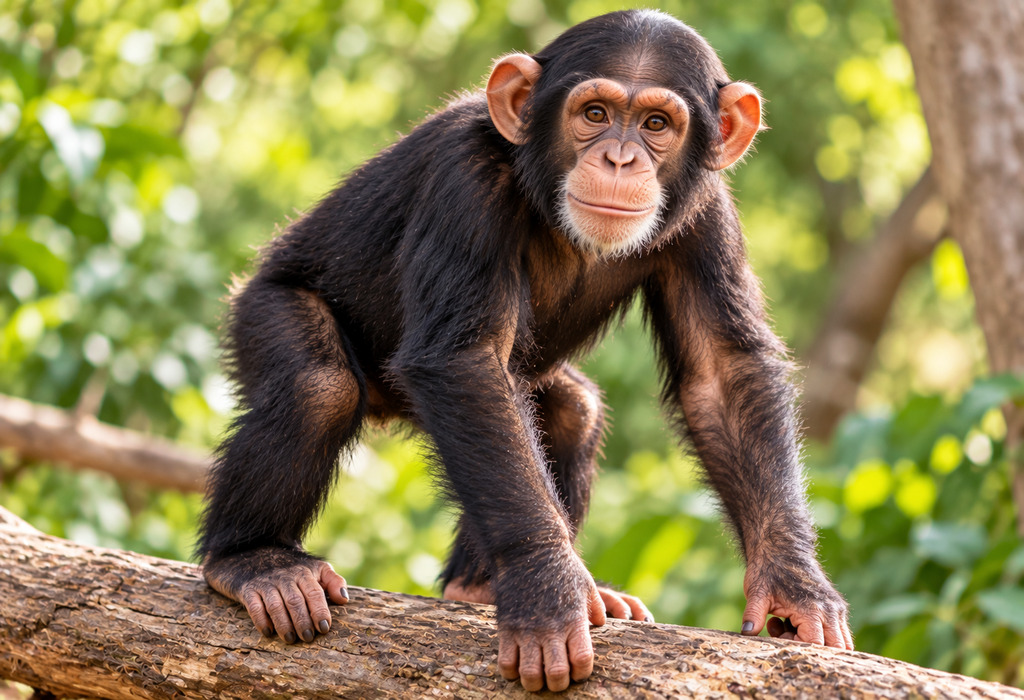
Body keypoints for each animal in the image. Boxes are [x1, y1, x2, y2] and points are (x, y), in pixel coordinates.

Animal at [198, 9, 853, 693]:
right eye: (593, 113)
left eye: (656, 124)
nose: (620, 158)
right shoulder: (466, 180)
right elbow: (467, 359)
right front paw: (546, 593)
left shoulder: (708, 214)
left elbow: (722, 372)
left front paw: (795, 583)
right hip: (259, 305)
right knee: (318, 387)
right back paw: (254, 562)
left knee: (571, 413)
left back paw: (478, 585)